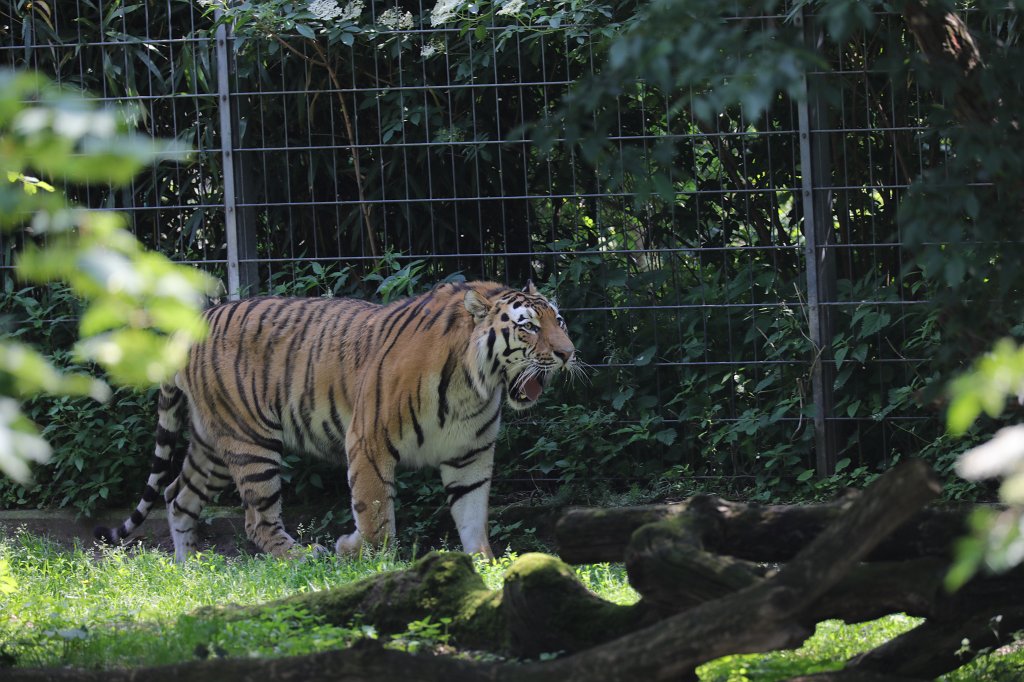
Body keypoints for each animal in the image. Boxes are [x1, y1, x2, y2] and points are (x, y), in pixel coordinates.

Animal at [95, 280, 577, 563]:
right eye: (528, 327)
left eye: (560, 319)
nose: (568, 353)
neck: (476, 385)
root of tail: (196, 320)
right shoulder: (368, 442)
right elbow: (375, 515)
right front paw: (357, 552)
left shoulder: (469, 456)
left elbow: (473, 515)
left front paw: (484, 564)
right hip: (251, 443)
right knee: (256, 520)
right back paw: (301, 557)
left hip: (213, 443)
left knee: (178, 496)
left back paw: (190, 567)